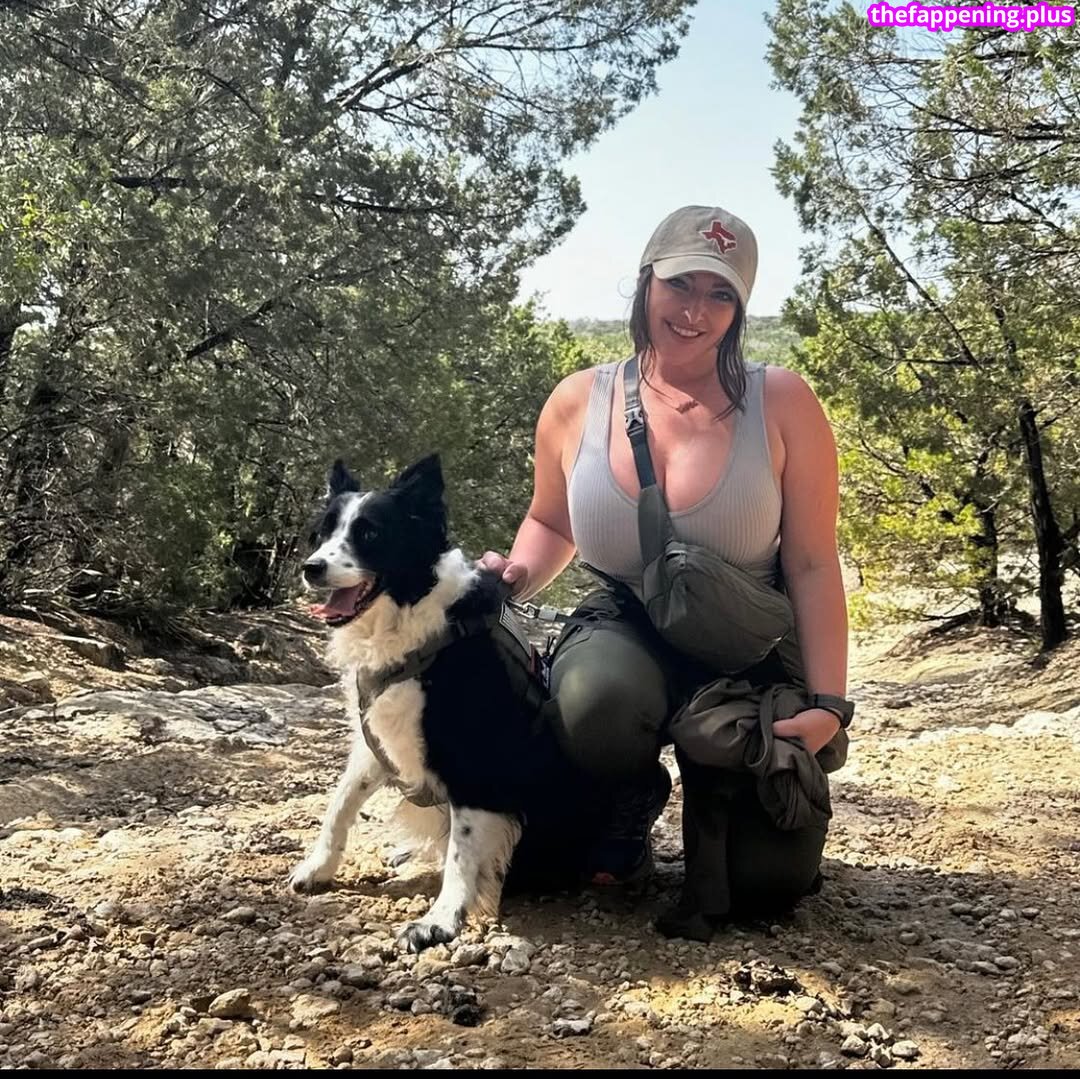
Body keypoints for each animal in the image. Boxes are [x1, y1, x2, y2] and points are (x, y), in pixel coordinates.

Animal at [289, 453, 587, 952]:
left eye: (370, 533)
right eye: (324, 532)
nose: (311, 568)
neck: (410, 620)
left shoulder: (471, 757)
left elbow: (462, 850)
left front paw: (441, 919)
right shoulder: (376, 739)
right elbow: (340, 802)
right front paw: (317, 868)